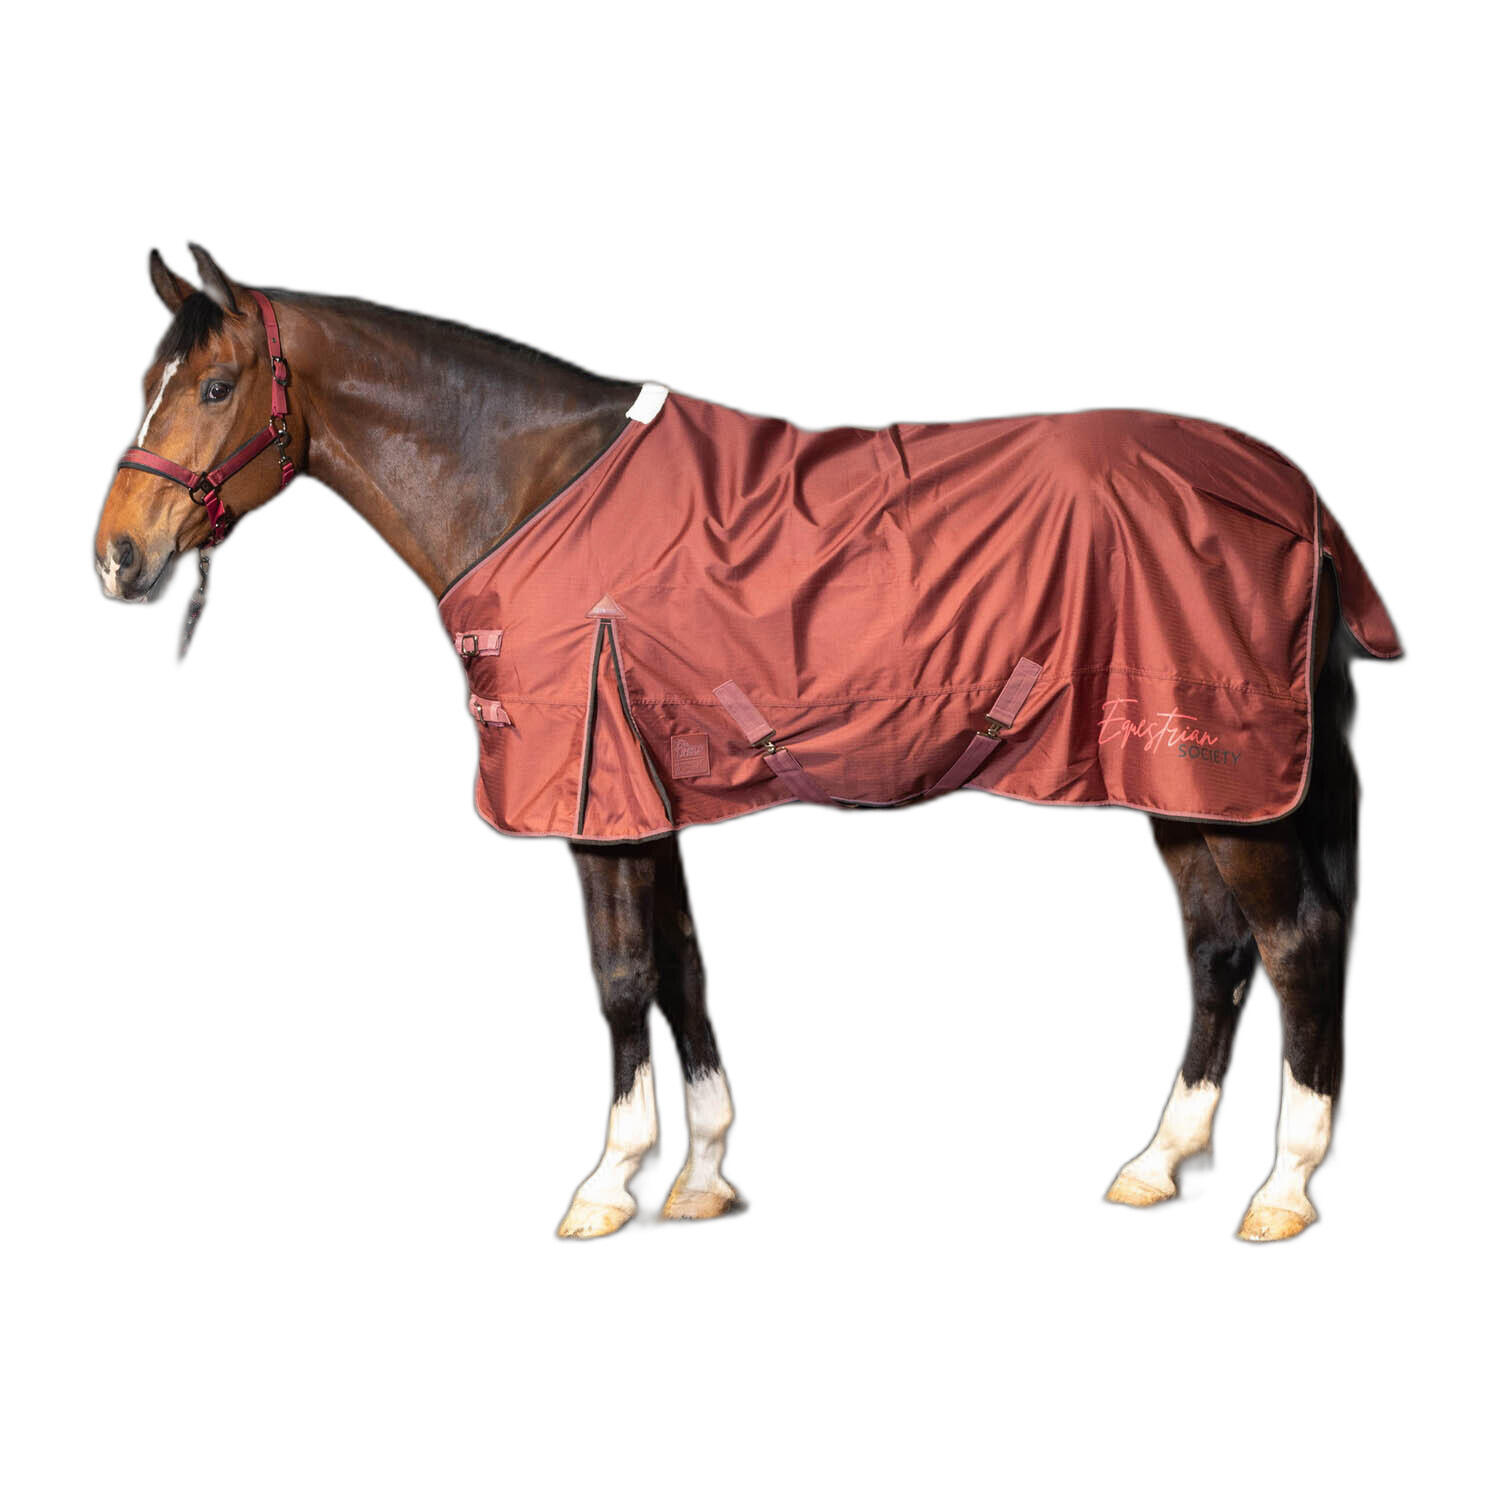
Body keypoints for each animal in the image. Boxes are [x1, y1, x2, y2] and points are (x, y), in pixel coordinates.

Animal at [94, 246, 1401, 1242]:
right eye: (151, 379)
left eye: (214, 386)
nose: (116, 556)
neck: (532, 486)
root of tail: (1291, 495)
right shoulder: (644, 796)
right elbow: (683, 969)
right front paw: (705, 1175)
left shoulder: (596, 800)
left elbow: (623, 978)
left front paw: (607, 1181)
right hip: (1181, 782)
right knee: (1217, 952)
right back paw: (1156, 1161)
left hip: (1236, 780)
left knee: (1294, 944)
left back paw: (1284, 1188)